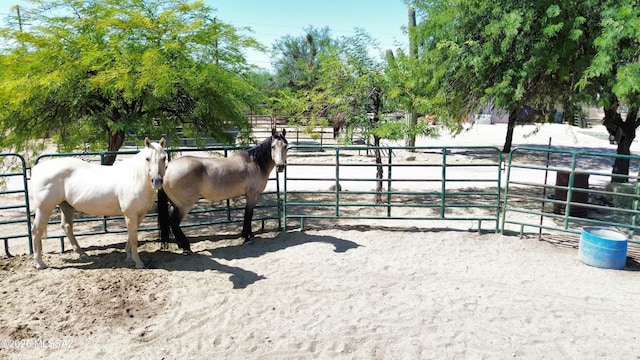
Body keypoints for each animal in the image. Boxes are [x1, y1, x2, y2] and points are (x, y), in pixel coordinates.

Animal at [30, 139, 166, 268]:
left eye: (164, 158)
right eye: (147, 158)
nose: (157, 181)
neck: (135, 178)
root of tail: (38, 169)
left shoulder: (141, 214)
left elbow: (131, 235)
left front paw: (128, 256)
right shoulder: (130, 214)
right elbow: (134, 239)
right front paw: (138, 262)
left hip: (66, 205)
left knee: (66, 227)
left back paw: (82, 254)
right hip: (44, 208)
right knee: (36, 230)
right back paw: (40, 263)